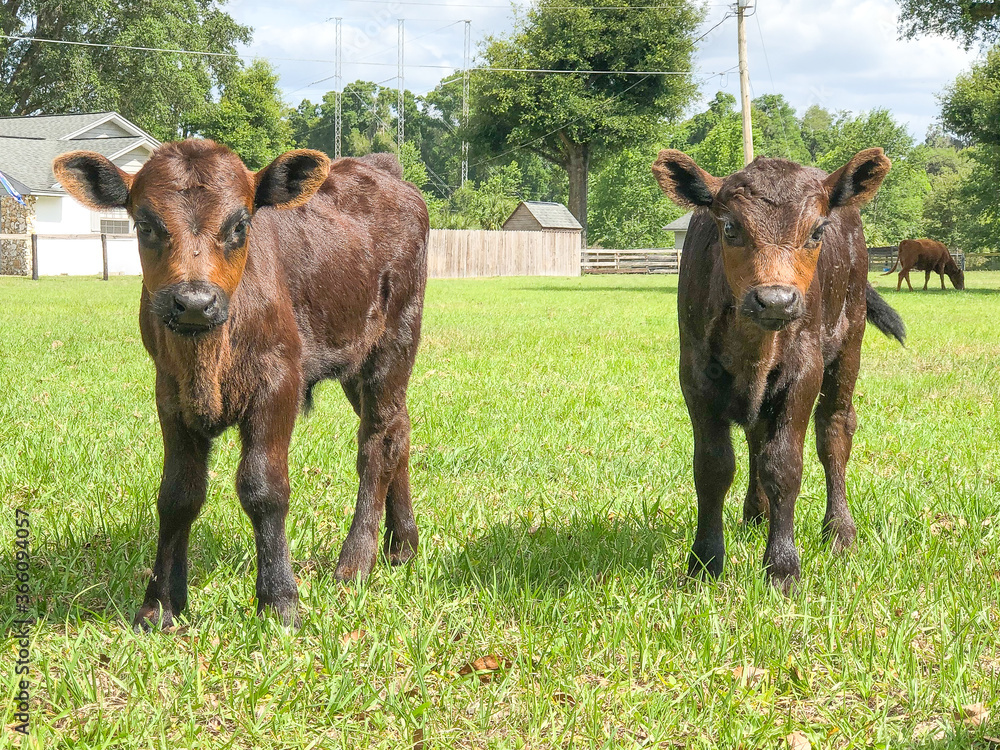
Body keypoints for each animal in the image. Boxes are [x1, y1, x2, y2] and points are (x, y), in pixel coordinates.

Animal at [53, 140, 429, 629]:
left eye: (240, 224)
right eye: (145, 225)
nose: (195, 302)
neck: (207, 363)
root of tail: (383, 170)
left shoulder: (279, 382)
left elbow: (263, 487)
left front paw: (280, 600)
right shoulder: (169, 394)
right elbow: (177, 493)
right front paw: (160, 604)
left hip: (395, 341)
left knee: (377, 442)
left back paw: (354, 563)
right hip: (355, 363)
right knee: (398, 430)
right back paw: (401, 545)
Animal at [651, 148, 906, 593]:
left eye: (817, 231)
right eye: (730, 227)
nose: (775, 300)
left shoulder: (804, 374)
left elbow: (784, 464)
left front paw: (783, 569)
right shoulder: (695, 376)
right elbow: (713, 466)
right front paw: (704, 563)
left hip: (849, 343)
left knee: (834, 430)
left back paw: (839, 531)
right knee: (756, 436)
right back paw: (756, 513)